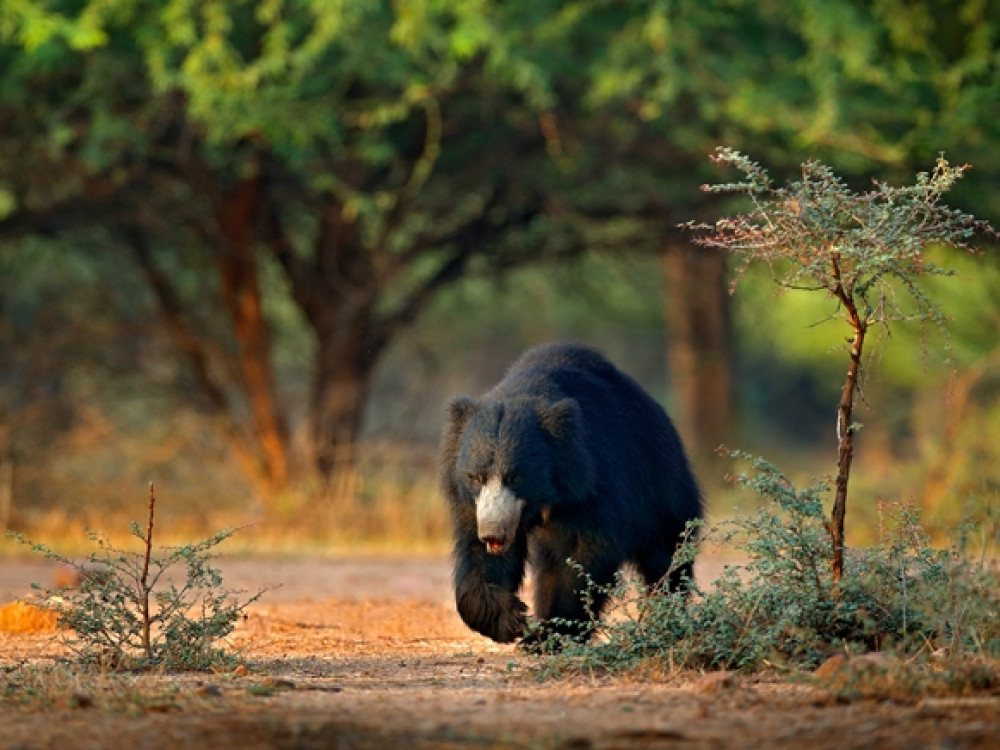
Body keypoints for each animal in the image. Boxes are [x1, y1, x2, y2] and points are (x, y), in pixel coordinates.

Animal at [438, 344, 704, 644]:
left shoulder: (592, 483)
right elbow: (478, 554)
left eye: (516, 477)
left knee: (666, 555)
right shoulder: (473, 505)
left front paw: (549, 634)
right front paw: (510, 619)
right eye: (476, 477)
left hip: (660, 487)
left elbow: (584, 555)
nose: (493, 533)